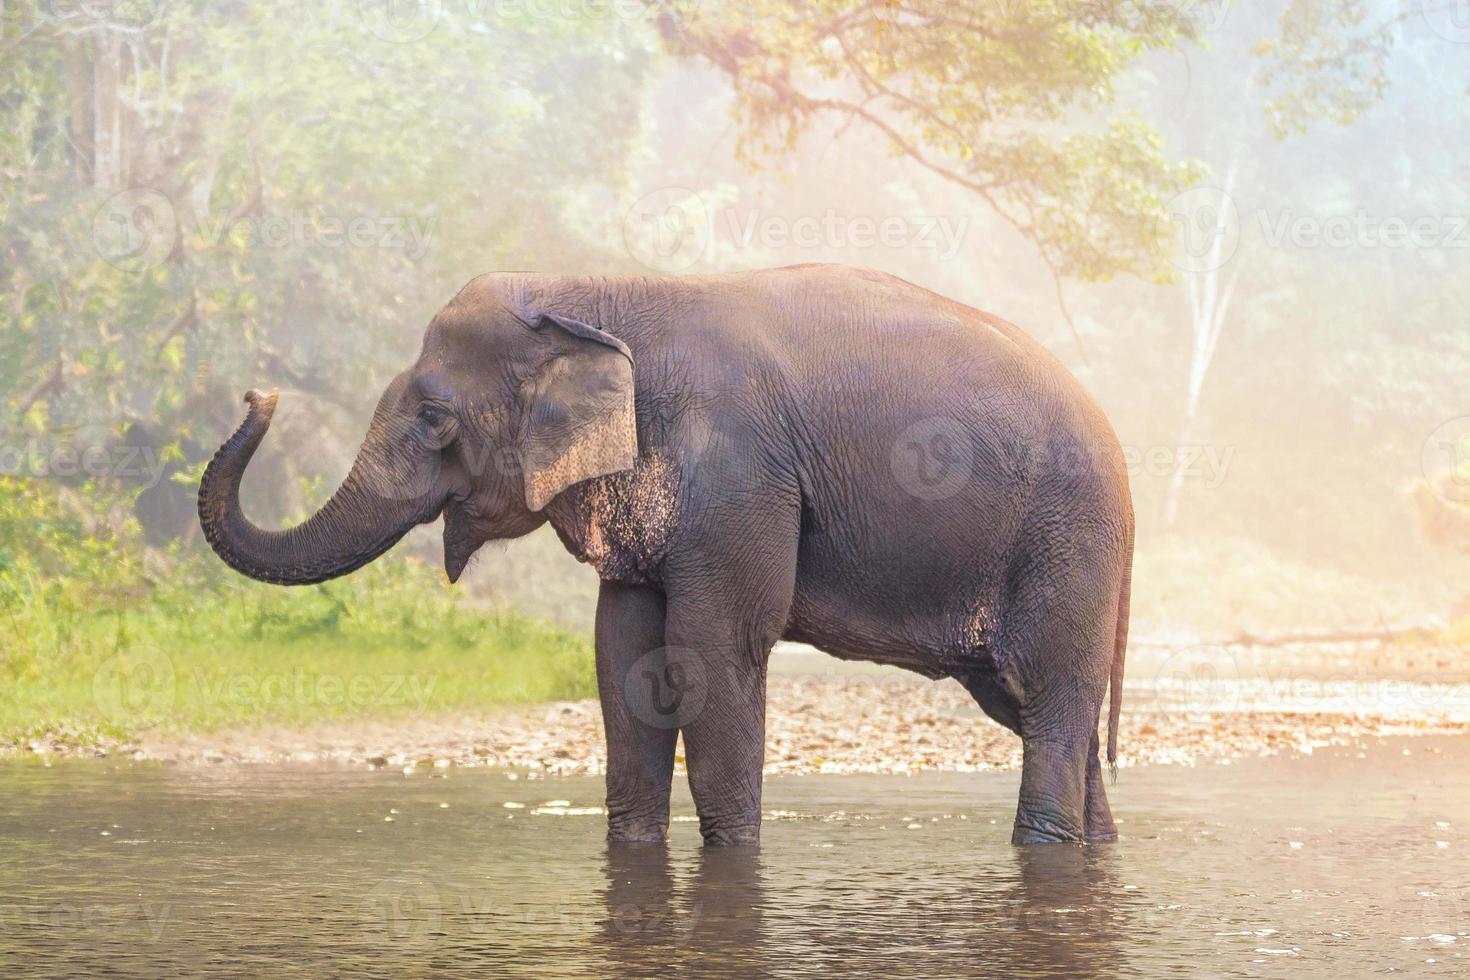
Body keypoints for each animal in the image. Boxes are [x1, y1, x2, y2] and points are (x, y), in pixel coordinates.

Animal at [198, 264, 1134, 846]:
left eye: (434, 419)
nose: (257, 393)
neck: (594, 292)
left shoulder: (738, 474)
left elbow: (715, 653)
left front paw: (733, 857)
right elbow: (623, 655)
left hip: (1064, 542)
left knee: (1050, 697)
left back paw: (1044, 848)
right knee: (1037, 708)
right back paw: (1094, 844)